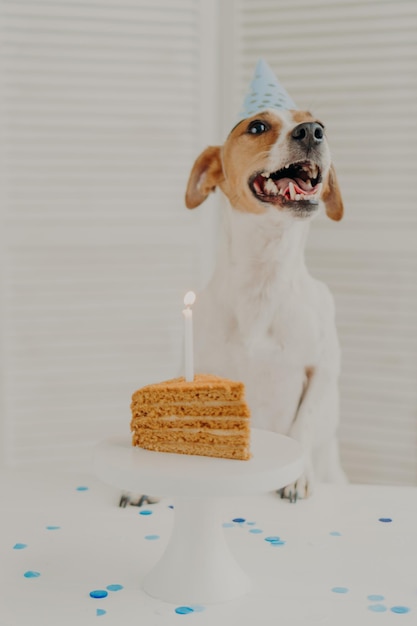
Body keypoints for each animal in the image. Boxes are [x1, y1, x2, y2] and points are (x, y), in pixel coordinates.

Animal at [187, 107, 346, 498]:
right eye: (257, 126)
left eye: (321, 123)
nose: (312, 132)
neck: (264, 276)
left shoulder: (323, 370)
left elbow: (304, 423)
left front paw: (296, 476)